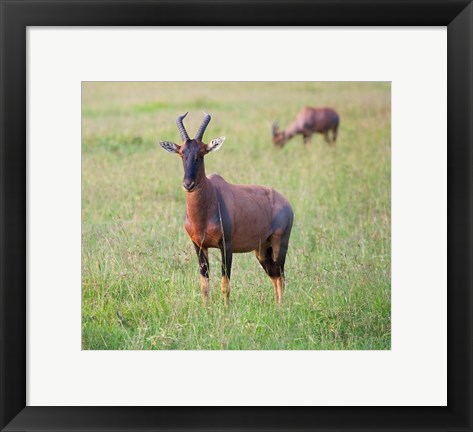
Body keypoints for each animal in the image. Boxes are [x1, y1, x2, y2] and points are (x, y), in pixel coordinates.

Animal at [159, 113, 292, 306]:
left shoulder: (226, 246)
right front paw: (206, 310)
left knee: (281, 275)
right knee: (274, 275)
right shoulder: (199, 246)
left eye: (202, 153)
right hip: (261, 250)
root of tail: (286, 203)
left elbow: (225, 284)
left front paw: (225, 310)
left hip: (279, 243)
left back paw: (282, 308)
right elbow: (204, 284)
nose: (188, 184)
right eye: (181, 153)